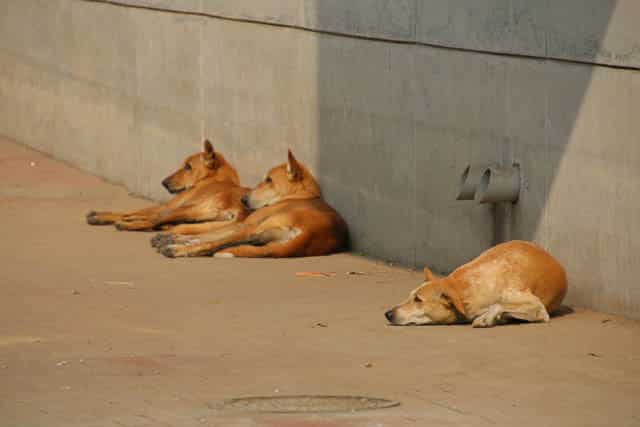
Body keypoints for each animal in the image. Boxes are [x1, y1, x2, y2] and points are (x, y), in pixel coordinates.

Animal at [83, 140, 248, 234]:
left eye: (188, 167)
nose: (164, 183)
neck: (214, 178)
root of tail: (239, 210)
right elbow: (133, 212)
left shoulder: (169, 205)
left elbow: (129, 212)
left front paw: (101, 216)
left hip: (184, 209)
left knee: (152, 220)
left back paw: (128, 224)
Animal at [150, 150, 348, 258]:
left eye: (269, 180)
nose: (243, 200)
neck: (298, 197)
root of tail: (316, 233)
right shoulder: (243, 226)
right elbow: (207, 235)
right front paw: (173, 237)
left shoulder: (244, 224)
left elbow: (208, 236)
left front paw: (175, 239)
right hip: (261, 236)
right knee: (221, 244)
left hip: (252, 229)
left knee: (211, 245)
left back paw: (176, 250)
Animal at [382, 242, 568, 330]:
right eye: (409, 296)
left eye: (418, 300)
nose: (388, 314)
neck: (462, 288)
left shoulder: (537, 308)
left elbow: (498, 304)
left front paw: (487, 318)